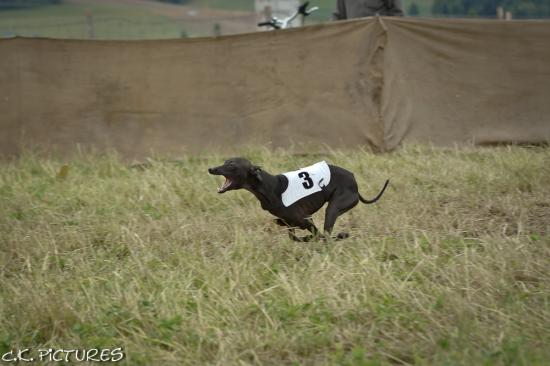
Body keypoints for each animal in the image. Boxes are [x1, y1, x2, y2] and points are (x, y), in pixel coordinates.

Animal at [209, 159, 390, 242]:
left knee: (326, 234)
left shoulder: (306, 219)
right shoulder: (292, 223)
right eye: (225, 161)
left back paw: (340, 235)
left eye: (231, 164)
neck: (268, 186)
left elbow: (315, 234)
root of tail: (355, 183)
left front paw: (311, 238)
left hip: (333, 208)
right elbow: (293, 236)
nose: (211, 168)